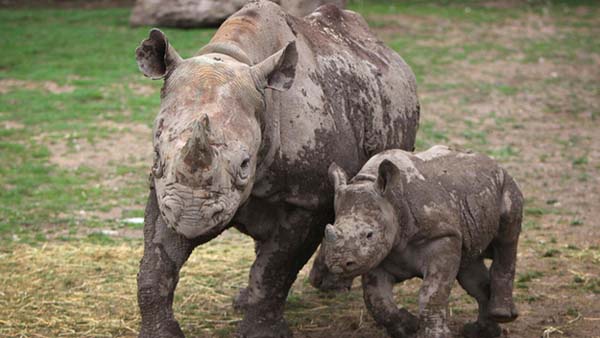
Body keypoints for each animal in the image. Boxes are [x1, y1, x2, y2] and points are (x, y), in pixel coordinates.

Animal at [322, 145, 524, 338]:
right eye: (329, 230)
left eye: (369, 234)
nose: (339, 263)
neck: (392, 201)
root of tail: (494, 162)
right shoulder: (380, 253)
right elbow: (377, 299)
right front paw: (408, 327)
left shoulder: (443, 235)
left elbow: (432, 292)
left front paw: (434, 335)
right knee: (471, 272)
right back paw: (479, 331)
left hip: (506, 183)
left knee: (506, 239)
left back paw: (501, 314)